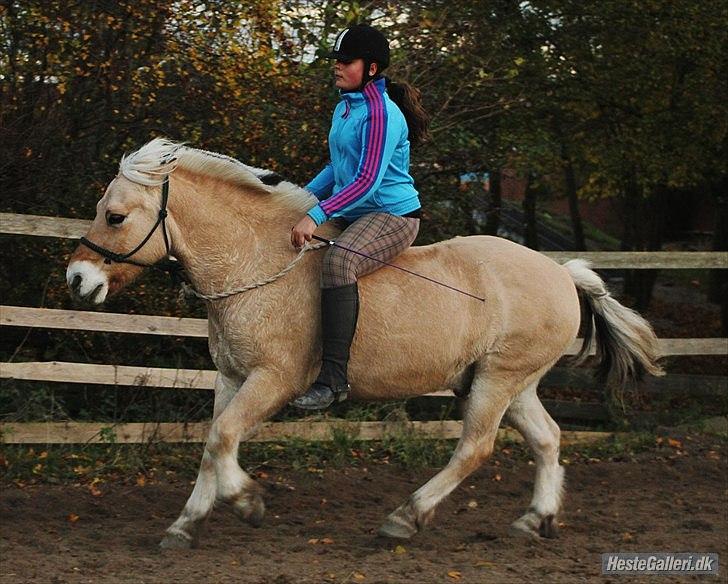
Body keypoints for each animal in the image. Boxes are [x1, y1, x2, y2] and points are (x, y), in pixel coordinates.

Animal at [65, 139, 664, 548]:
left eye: (115, 216)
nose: (77, 279)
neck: (253, 263)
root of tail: (562, 273)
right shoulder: (231, 379)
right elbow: (213, 444)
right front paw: (185, 525)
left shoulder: (272, 381)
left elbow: (224, 438)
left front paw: (248, 502)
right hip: (510, 384)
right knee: (546, 439)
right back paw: (534, 520)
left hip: (498, 380)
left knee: (475, 447)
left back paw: (406, 517)